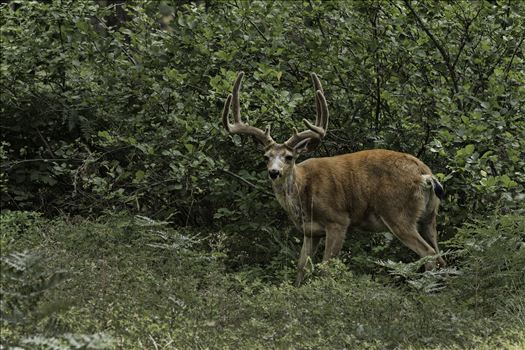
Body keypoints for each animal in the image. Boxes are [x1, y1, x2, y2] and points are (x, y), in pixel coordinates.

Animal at [219, 72, 444, 288]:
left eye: (289, 157)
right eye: (266, 157)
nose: (274, 172)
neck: (303, 192)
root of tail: (425, 174)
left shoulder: (338, 220)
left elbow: (326, 268)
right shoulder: (310, 232)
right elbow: (301, 267)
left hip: (397, 212)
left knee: (429, 254)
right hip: (429, 216)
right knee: (441, 256)